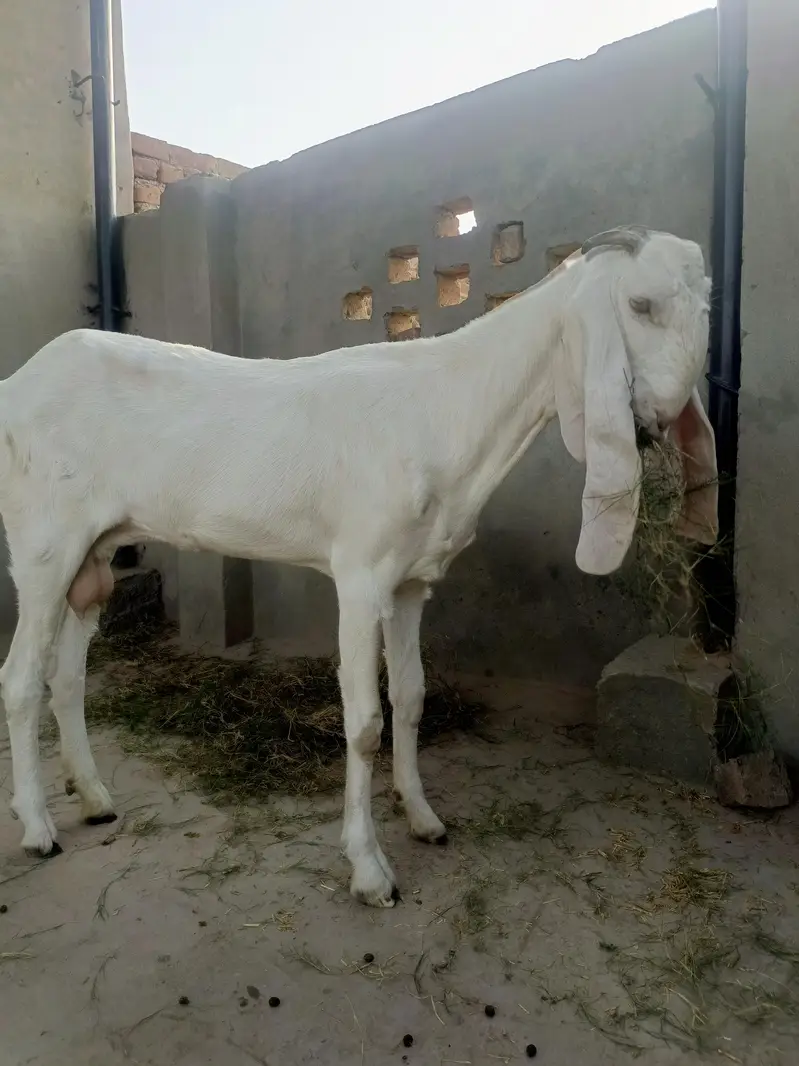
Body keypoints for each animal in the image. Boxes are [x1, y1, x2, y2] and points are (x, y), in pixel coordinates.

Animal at [0, 225, 717, 907]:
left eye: (705, 304)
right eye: (639, 304)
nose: (663, 417)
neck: (445, 405)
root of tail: (17, 384)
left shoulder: (411, 583)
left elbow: (411, 699)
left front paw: (423, 817)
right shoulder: (359, 576)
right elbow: (366, 722)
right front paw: (370, 870)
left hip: (94, 551)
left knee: (67, 677)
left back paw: (95, 799)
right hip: (43, 546)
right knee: (20, 679)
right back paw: (38, 829)